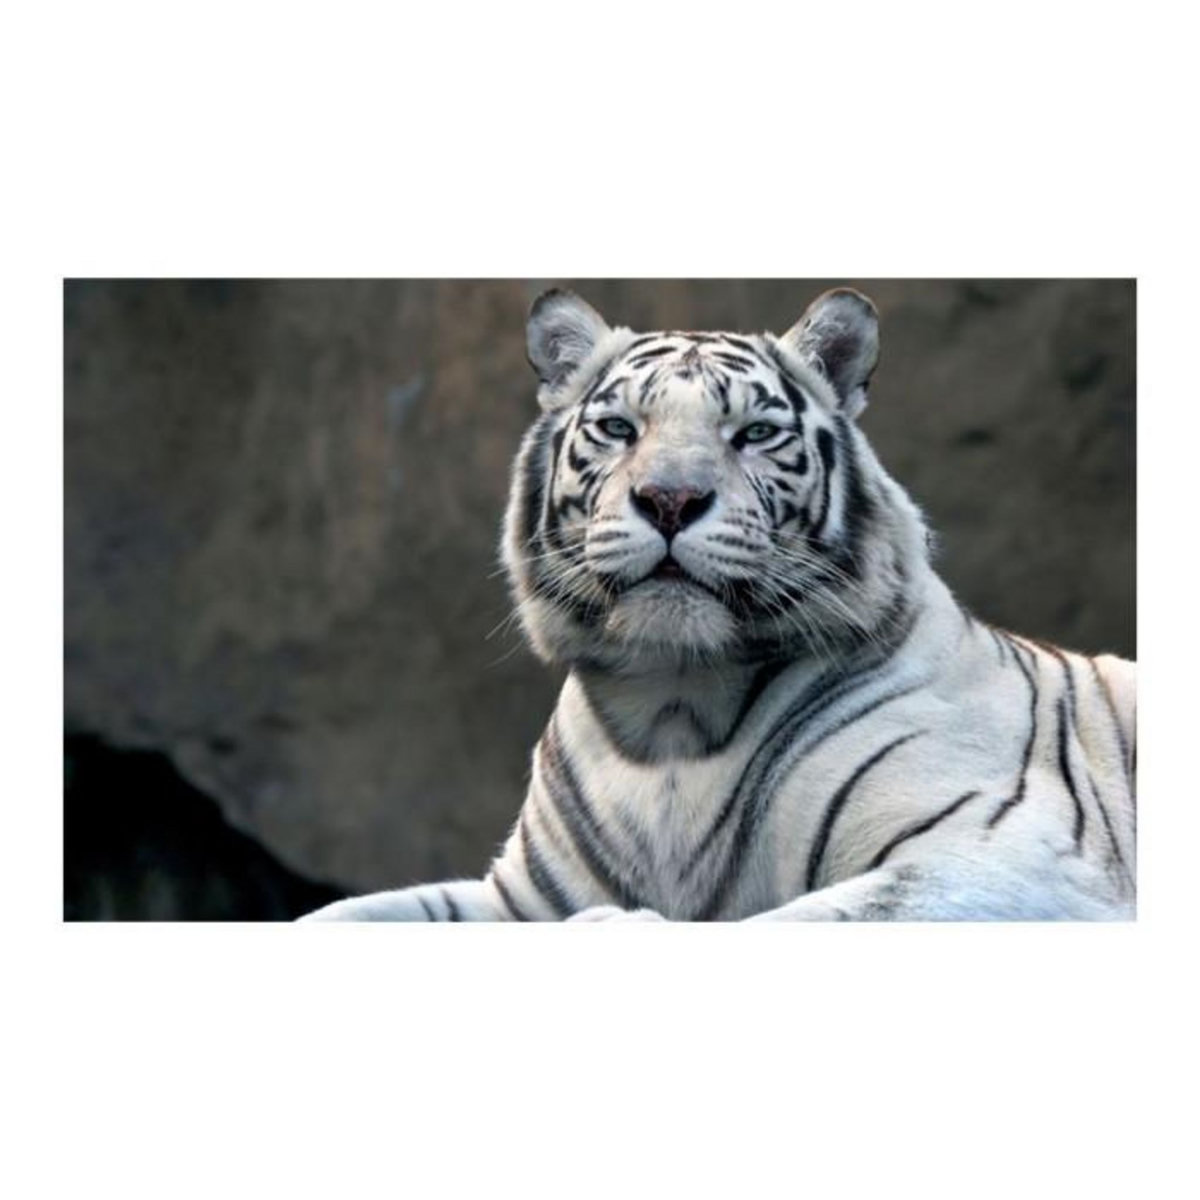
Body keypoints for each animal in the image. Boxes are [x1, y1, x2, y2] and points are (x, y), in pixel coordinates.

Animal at [301, 286, 1136, 922]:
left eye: (755, 433)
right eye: (619, 428)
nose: (670, 499)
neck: (670, 713)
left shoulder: (1005, 852)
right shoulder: (518, 899)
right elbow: (344, 913)